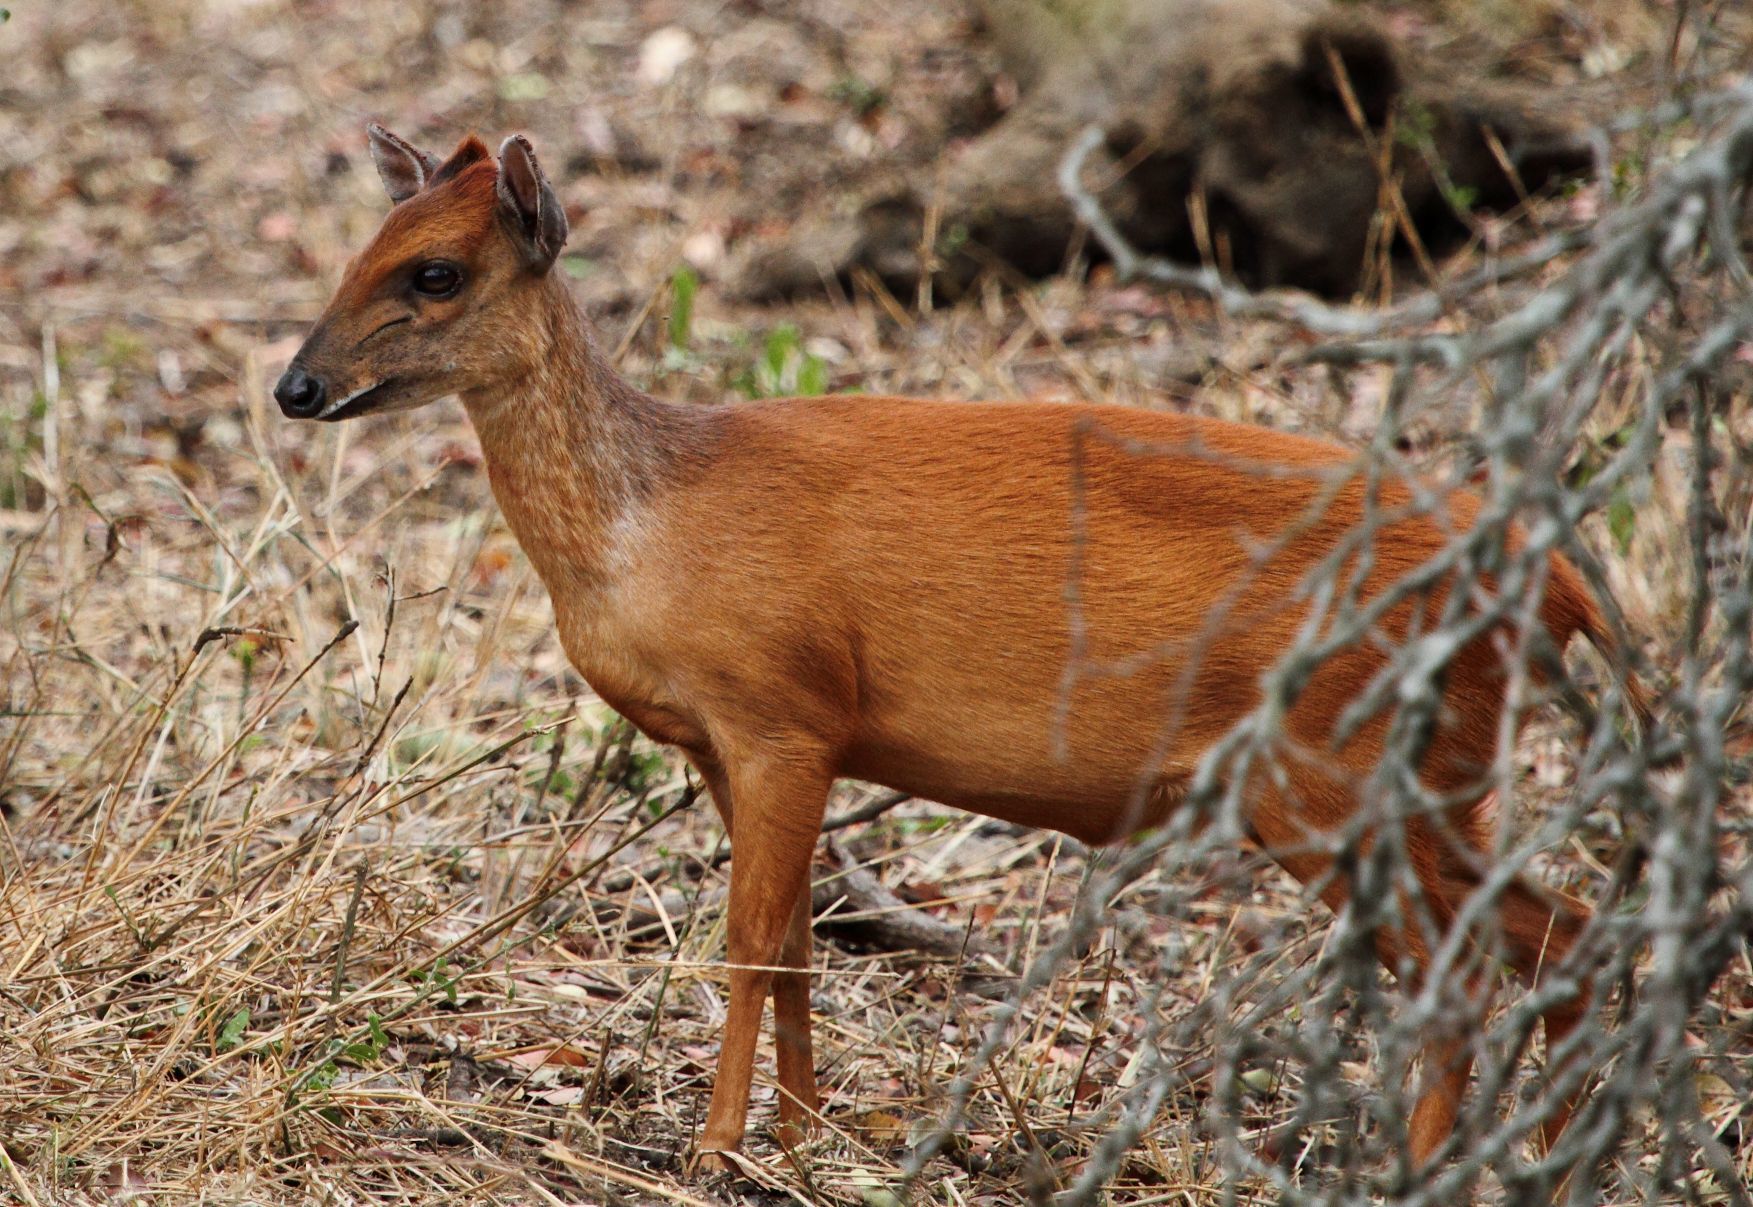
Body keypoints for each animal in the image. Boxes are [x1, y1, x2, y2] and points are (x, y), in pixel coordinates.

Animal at [276, 127, 1640, 1170]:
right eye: (352, 257)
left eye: (436, 272)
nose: (296, 387)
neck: (649, 523)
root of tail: (1556, 580)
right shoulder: (735, 741)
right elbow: (797, 949)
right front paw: (804, 1137)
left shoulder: (783, 710)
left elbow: (751, 940)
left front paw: (713, 1149)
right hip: (1410, 782)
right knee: (1560, 940)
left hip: (1339, 771)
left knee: (1477, 972)